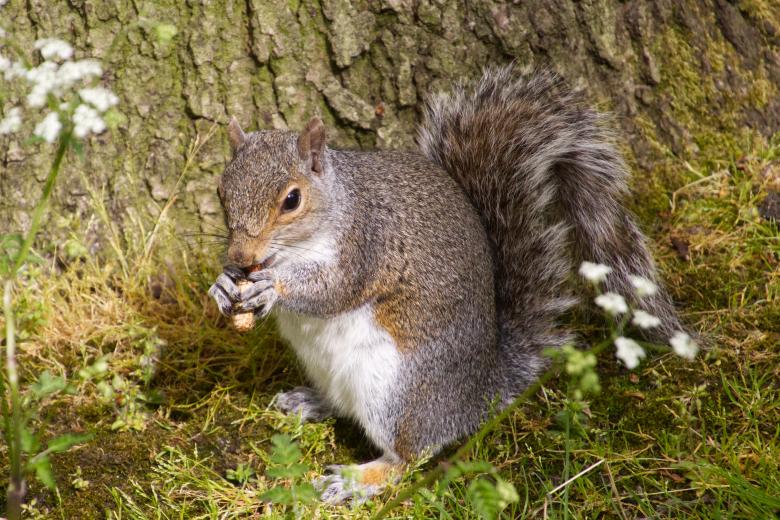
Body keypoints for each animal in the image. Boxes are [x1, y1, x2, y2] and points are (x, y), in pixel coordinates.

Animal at [208, 65, 684, 503]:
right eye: (221, 191)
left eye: (292, 199)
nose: (242, 258)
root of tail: (483, 390)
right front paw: (222, 285)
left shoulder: (366, 245)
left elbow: (333, 290)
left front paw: (271, 286)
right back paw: (310, 402)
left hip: (397, 391)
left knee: (410, 456)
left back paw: (358, 480)